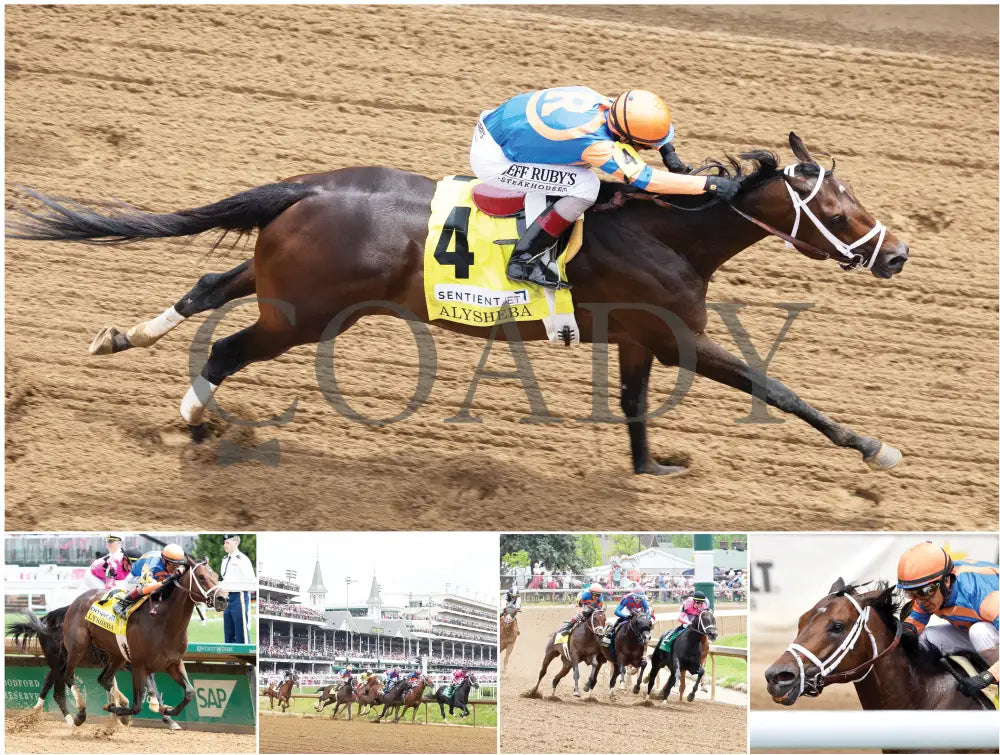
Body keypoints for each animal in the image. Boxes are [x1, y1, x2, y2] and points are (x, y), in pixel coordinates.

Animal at [7, 133, 908, 477]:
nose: (896, 253)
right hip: (302, 316)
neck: (664, 229)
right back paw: (197, 422)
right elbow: (776, 389)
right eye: (838, 213)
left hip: (277, 286)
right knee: (226, 351)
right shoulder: (679, 334)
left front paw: (650, 467)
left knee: (204, 292)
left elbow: (634, 406)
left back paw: (120, 337)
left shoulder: (636, 338)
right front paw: (874, 446)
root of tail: (310, 186)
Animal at [7, 607, 168, 727]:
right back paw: (72, 720)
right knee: (58, 691)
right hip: (60, 661)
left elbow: (150, 686)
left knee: (48, 683)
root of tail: (44, 619)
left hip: (58, 663)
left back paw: (36, 711)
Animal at [60, 558, 227, 727]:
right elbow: (137, 706)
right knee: (68, 675)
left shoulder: (174, 663)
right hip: (77, 648)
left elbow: (190, 692)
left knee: (104, 678)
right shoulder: (139, 666)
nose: (223, 599)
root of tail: (77, 600)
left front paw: (167, 710)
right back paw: (81, 713)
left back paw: (119, 702)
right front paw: (118, 709)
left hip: (117, 655)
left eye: (216, 575)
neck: (164, 623)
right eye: (201, 577)